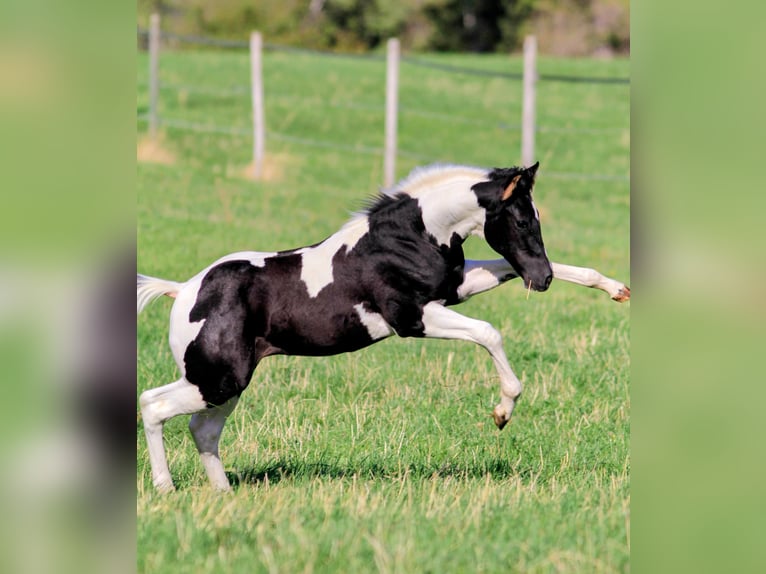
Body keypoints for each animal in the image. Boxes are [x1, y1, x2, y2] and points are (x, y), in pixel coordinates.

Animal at [137, 162, 630, 492]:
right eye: (523, 219)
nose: (540, 279)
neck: (409, 237)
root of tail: (183, 291)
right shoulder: (413, 317)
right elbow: (489, 331)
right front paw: (503, 411)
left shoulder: (455, 288)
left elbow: (513, 276)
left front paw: (616, 289)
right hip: (217, 378)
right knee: (153, 404)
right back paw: (166, 487)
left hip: (225, 383)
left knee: (202, 430)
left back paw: (223, 493)